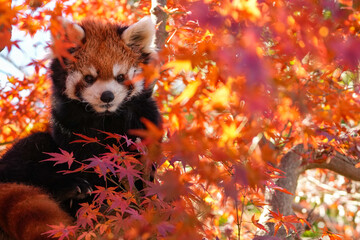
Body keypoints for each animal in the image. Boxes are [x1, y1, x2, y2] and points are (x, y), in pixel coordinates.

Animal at [0, 15, 161, 239]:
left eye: (120, 77)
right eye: (89, 78)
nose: (107, 96)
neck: (104, 118)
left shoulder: (145, 120)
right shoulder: (68, 127)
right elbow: (82, 161)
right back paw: (70, 189)